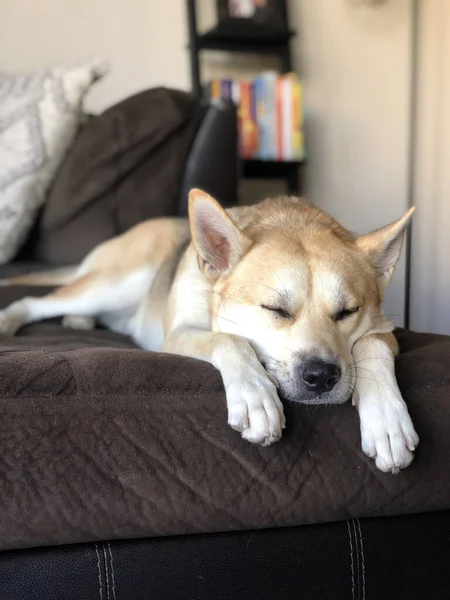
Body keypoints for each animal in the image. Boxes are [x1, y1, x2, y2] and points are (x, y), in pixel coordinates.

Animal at [0, 190, 418, 472]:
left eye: (348, 312)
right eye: (275, 309)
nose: (321, 377)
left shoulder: (385, 329)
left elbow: (372, 347)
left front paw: (387, 418)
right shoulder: (180, 334)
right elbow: (228, 339)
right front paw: (254, 395)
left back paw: (79, 322)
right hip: (115, 283)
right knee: (38, 301)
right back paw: (11, 320)